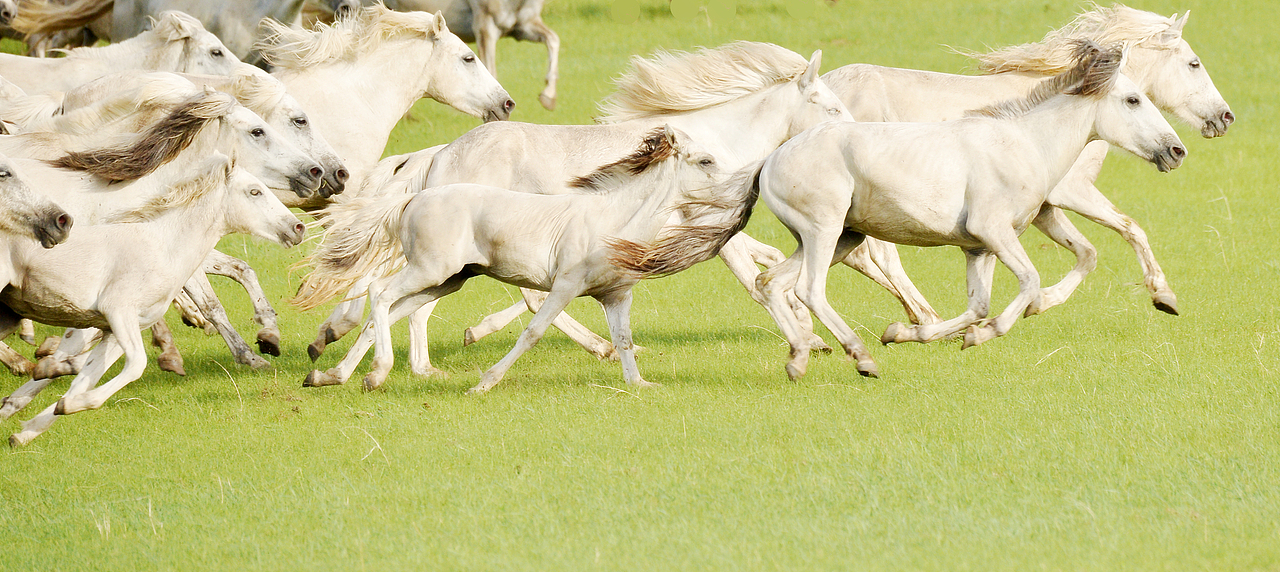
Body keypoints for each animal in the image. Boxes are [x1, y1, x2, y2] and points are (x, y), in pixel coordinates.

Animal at [0, 154, 306, 446]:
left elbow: (84, 380)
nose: (298, 227)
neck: (163, 245)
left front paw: (29, 429)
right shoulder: (119, 312)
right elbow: (136, 366)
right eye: (255, 191)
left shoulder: (116, 330)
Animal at [292, 126, 756, 393]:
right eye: (706, 160)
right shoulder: (566, 286)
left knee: (387, 313)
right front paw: (484, 383)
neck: (612, 221)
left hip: (449, 279)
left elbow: (624, 340)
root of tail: (412, 199)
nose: (749, 188)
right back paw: (374, 373)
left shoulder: (616, 296)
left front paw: (640, 383)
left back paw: (333, 375)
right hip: (429, 269)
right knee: (379, 294)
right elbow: (533, 331)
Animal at [620, 43, 1185, 380]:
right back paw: (860, 357)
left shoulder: (978, 247)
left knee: (773, 284)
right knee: (809, 289)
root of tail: (769, 160)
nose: (1176, 150)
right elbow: (1026, 285)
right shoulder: (995, 233)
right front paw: (983, 334)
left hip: (837, 237)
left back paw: (801, 357)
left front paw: (911, 333)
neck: (1023, 142)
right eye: (1133, 100)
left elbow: (980, 303)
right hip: (825, 232)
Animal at [811, 5, 1234, 325]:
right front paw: (1164, 296)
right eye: (1194, 63)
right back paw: (923, 319)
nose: (1226, 117)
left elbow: (1087, 251)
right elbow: (1131, 229)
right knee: (876, 255)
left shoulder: (1042, 207)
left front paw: (1031, 304)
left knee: (855, 257)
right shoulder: (1073, 191)